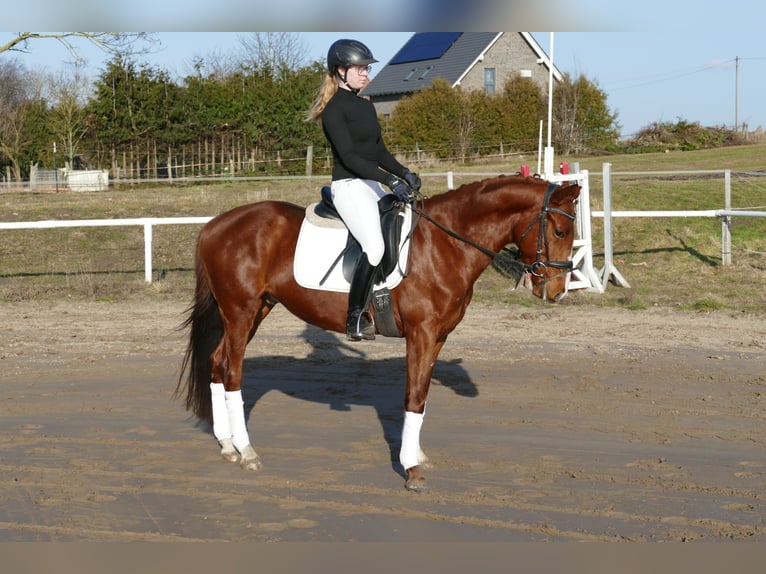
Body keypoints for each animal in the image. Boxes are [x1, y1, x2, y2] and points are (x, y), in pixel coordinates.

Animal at [175, 174, 581, 492]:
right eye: (560, 231)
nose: (557, 291)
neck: (445, 244)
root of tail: (214, 225)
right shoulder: (421, 333)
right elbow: (413, 397)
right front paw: (411, 470)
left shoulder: (437, 337)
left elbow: (423, 396)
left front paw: (416, 455)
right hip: (240, 312)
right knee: (232, 373)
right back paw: (247, 452)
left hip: (256, 309)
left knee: (216, 363)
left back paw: (227, 446)